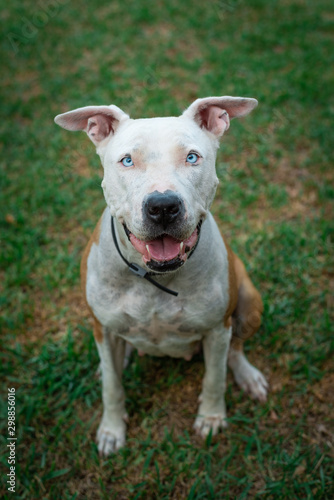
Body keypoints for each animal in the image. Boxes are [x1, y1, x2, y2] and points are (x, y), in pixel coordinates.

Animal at [55, 95, 268, 456]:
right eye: (127, 160)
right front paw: (112, 429)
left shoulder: (216, 329)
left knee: (236, 349)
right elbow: (112, 386)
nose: (163, 206)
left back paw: (248, 375)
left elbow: (215, 377)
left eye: (192, 157)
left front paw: (211, 417)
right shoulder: (102, 328)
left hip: (249, 302)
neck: (154, 278)